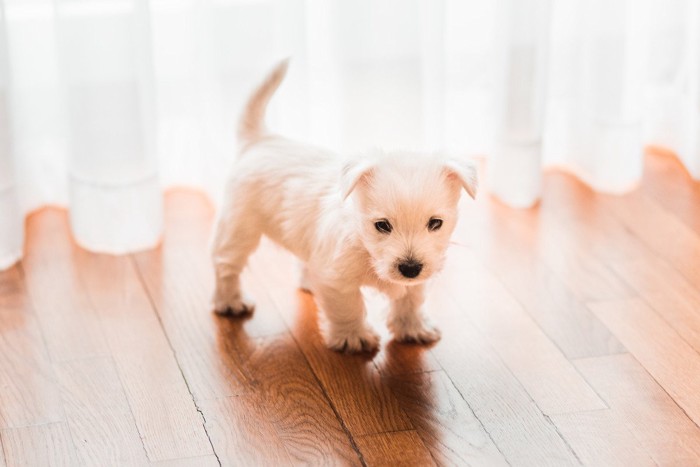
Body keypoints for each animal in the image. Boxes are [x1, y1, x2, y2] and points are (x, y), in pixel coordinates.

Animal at [211, 61, 478, 354]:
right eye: (382, 225)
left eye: (435, 223)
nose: (410, 269)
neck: (365, 246)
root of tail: (262, 140)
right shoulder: (337, 280)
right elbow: (348, 307)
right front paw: (353, 338)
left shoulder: (417, 276)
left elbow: (410, 299)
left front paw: (413, 328)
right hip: (239, 227)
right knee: (226, 265)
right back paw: (230, 302)